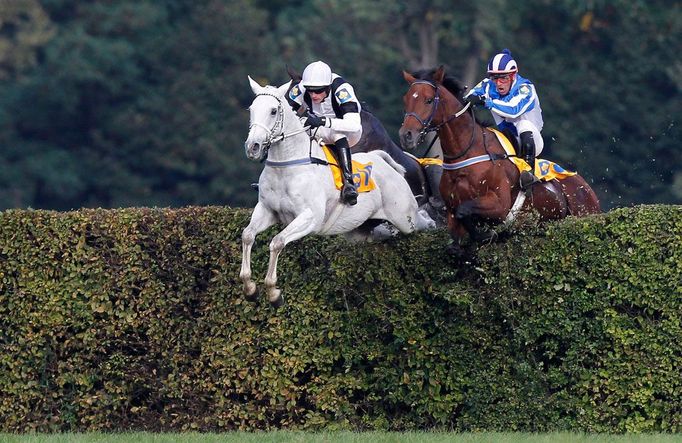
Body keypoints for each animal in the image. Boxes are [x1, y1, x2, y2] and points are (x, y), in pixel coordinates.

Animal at [239, 78, 432, 306]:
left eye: (273, 111)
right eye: (251, 109)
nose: (253, 147)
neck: (286, 166)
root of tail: (382, 160)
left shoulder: (309, 218)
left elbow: (277, 242)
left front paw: (273, 292)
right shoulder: (267, 210)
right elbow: (247, 235)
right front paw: (250, 288)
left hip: (405, 218)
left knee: (422, 221)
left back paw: (433, 223)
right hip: (359, 231)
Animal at [402, 67, 596, 258]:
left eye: (428, 100)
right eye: (407, 99)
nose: (406, 135)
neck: (467, 153)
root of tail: (586, 187)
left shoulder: (499, 205)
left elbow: (464, 210)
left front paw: (485, 234)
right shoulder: (450, 211)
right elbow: (456, 236)